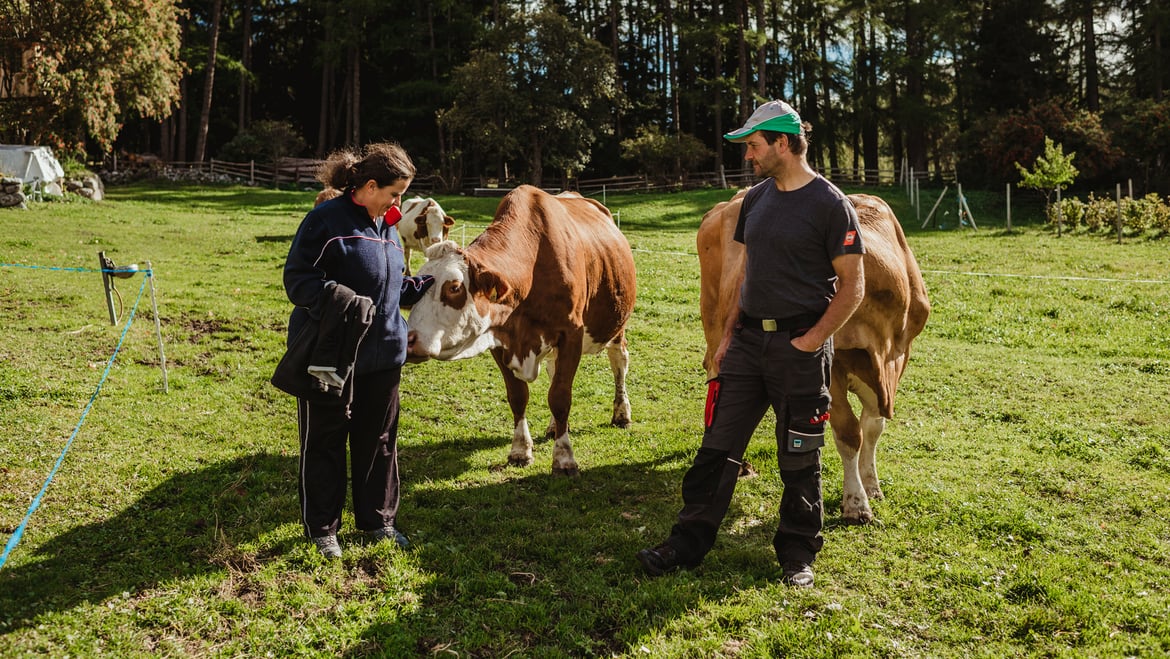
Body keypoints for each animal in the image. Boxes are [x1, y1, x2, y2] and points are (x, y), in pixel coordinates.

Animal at [404, 186, 641, 475]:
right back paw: (554, 427)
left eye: (454, 287)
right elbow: (519, 396)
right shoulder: (499, 340)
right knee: (554, 371)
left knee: (619, 362)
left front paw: (564, 458)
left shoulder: (571, 334)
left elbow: (560, 396)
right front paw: (520, 450)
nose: (409, 339)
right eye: (418, 285)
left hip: (617, 324)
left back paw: (622, 413)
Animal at [692, 188, 931, 524]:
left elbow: (873, 426)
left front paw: (872, 485)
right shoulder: (830, 369)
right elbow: (850, 432)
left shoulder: (899, 355)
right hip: (713, 321)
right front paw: (856, 503)